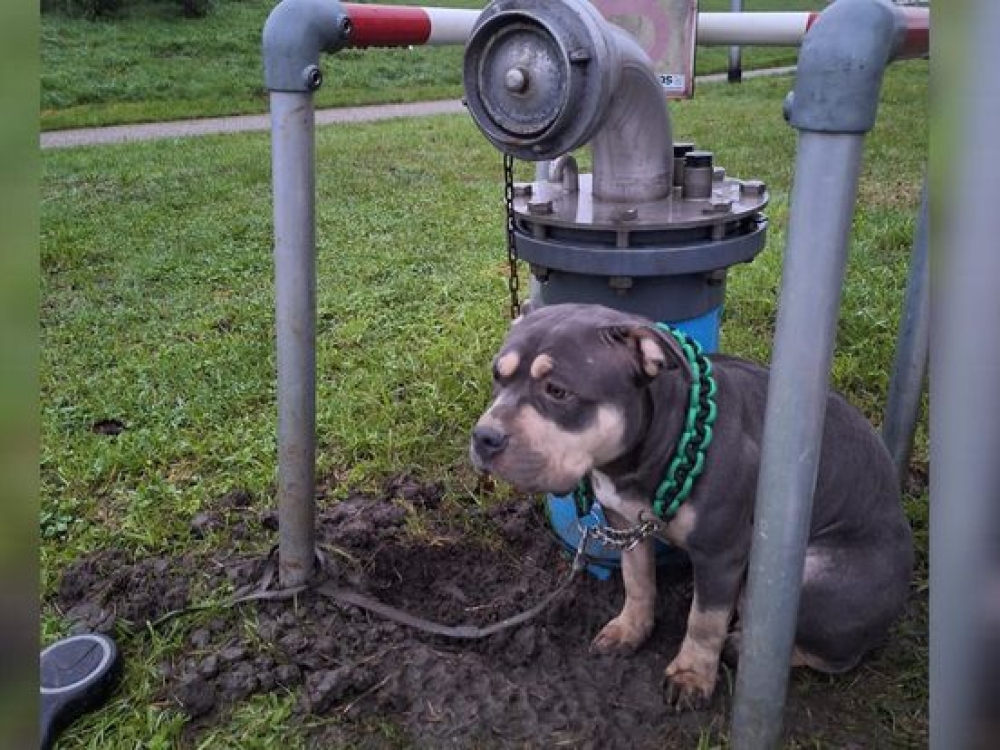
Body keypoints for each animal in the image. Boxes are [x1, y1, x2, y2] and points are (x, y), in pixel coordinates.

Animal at [468, 302, 916, 712]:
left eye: (558, 391)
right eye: (497, 377)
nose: (484, 437)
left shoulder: (720, 554)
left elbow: (703, 620)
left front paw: (691, 675)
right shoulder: (625, 525)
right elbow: (638, 581)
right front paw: (631, 629)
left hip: (808, 576)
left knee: (832, 655)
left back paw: (741, 647)